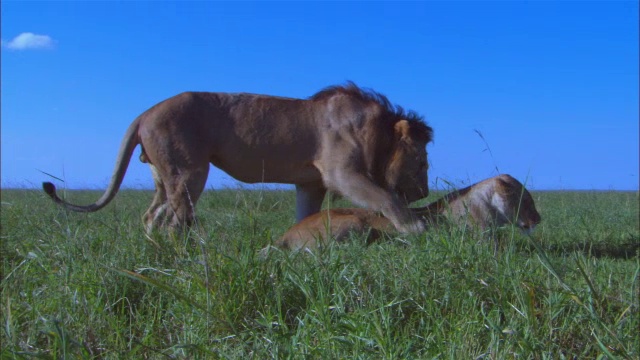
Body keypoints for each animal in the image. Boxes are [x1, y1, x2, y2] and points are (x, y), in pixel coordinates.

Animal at [41, 82, 436, 232]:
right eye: (423, 163)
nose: (424, 192)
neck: (378, 130)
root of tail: (145, 112)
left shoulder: (310, 183)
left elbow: (303, 216)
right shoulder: (341, 173)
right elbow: (385, 198)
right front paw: (416, 228)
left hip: (163, 177)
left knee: (151, 215)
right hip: (189, 172)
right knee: (174, 222)